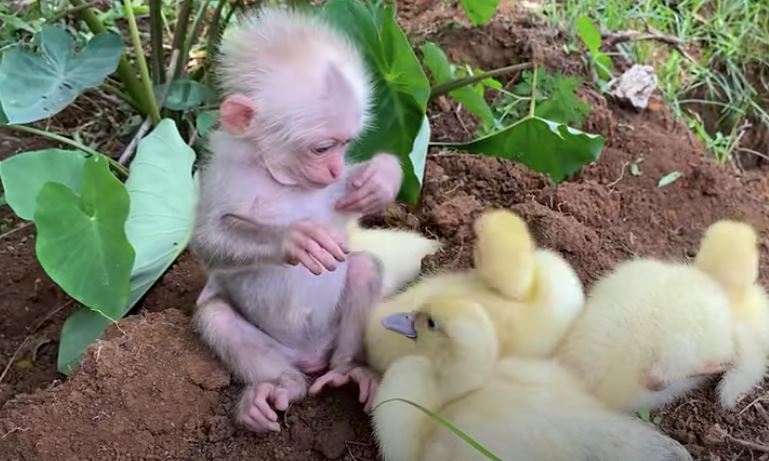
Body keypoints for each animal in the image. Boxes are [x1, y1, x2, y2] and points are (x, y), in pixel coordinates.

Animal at [190, 6, 402, 432]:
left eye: (346, 145)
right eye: (321, 148)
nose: (334, 169)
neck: (276, 176)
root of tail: (312, 354)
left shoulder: (332, 191)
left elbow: (351, 196)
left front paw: (382, 178)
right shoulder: (221, 172)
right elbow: (208, 242)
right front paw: (294, 238)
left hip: (333, 333)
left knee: (363, 268)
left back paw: (348, 370)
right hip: (275, 348)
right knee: (216, 316)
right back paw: (278, 388)